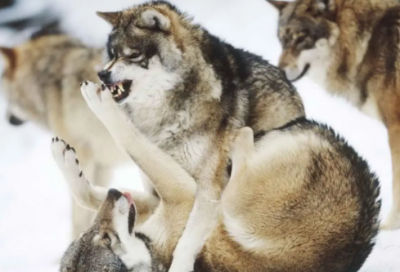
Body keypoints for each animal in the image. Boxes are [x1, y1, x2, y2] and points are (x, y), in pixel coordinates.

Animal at [51, 107, 380, 270]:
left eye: (98, 235)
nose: (114, 194)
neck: (154, 254)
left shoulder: (172, 198)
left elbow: (88, 193)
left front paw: (65, 157)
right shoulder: (182, 196)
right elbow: (128, 146)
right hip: (235, 206)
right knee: (240, 156)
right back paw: (238, 140)